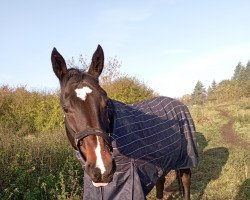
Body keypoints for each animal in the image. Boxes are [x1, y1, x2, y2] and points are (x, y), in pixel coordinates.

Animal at [51, 45, 199, 200]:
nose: (102, 169)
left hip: (186, 160)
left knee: (185, 181)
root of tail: (179, 103)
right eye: (65, 108)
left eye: (106, 103)